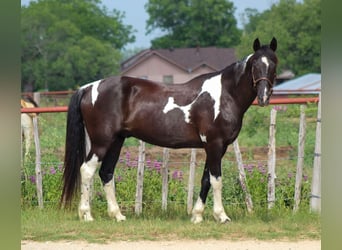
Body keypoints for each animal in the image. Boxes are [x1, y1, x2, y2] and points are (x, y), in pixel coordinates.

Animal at [61, 38, 278, 224]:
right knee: (87, 170)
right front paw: (221, 216)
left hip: (116, 141)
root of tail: (88, 88)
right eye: (255, 64)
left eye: (274, 63)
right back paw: (86, 215)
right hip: (102, 142)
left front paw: (197, 216)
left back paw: (118, 215)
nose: (263, 97)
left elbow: (206, 179)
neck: (224, 95)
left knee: (106, 173)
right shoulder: (215, 144)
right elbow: (216, 180)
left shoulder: (215, 147)